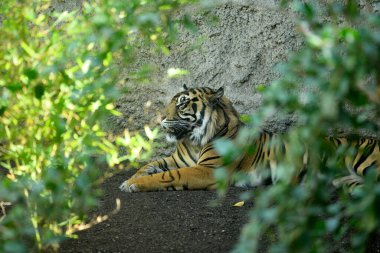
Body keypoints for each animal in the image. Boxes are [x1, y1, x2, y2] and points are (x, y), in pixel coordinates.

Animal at [119, 85, 380, 192]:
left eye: (182, 103)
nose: (160, 118)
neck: (193, 141)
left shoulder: (207, 170)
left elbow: (167, 176)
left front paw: (132, 185)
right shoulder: (177, 160)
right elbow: (149, 165)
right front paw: (131, 178)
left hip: (366, 164)